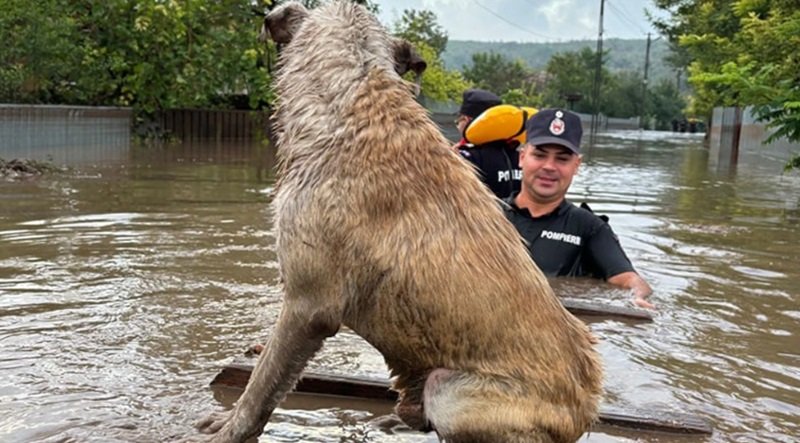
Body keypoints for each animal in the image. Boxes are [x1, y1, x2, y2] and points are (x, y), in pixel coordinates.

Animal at [197, 1, 604, 442]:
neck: (355, 99)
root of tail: (585, 412)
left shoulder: (308, 305)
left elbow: (263, 383)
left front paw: (228, 430)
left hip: (450, 392)